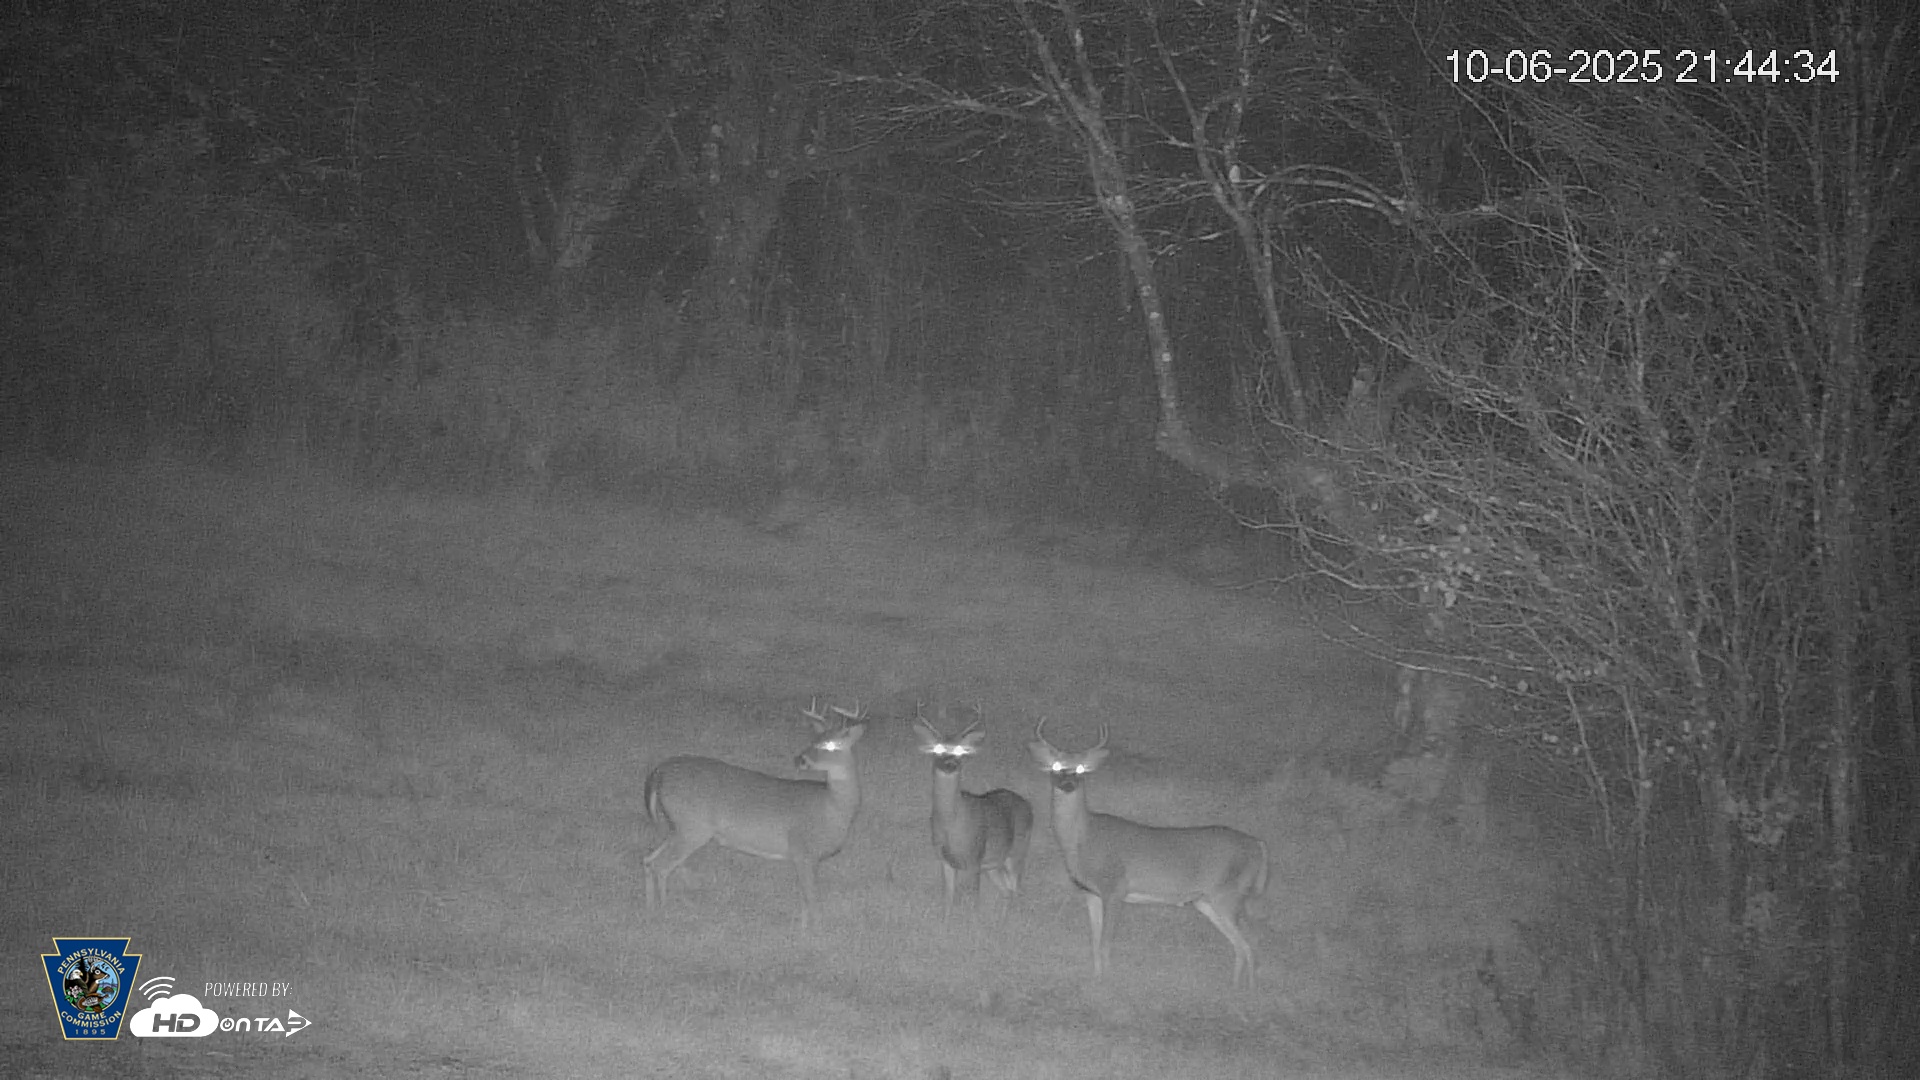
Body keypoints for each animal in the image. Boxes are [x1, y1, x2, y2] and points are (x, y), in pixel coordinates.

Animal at [642, 701, 866, 930]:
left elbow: (805, 899)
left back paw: (650, 910)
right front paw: (818, 932)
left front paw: (802, 930)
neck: (833, 809)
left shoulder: (806, 857)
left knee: (648, 860)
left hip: (677, 825)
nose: (799, 759)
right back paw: (664, 912)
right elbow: (812, 899)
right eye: (813, 740)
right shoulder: (802, 849)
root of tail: (659, 772)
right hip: (693, 827)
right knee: (661, 866)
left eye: (831, 745)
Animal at [912, 705, 1034, 921]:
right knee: (1007, 891)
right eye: (938, 748)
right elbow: (948, 899)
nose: (950, 764)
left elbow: (974, 901)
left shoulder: (974, 858)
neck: (951, 823)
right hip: (994, 864)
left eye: (960, 750)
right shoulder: (945, 859)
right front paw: (945, 924)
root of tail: (1029, 806)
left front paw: (973, 924)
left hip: (1018, 850)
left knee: (1016, 889)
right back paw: (1002, 921)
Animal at [1028, 717, 1269, 988]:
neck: (1084, 838)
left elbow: (1105, 943)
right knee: (1240, 945)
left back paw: (1250, 990)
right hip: (1206, 900)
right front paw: (1096, 979)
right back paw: (1235, 988)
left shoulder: (1116, 887)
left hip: (1231, 893)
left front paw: (1109, 982)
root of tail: (1258, 844)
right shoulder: (1091, 893)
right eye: (1056, 765)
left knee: (1252, 941)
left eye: (1081, 769)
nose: (1067, 784)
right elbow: (1094, 943)